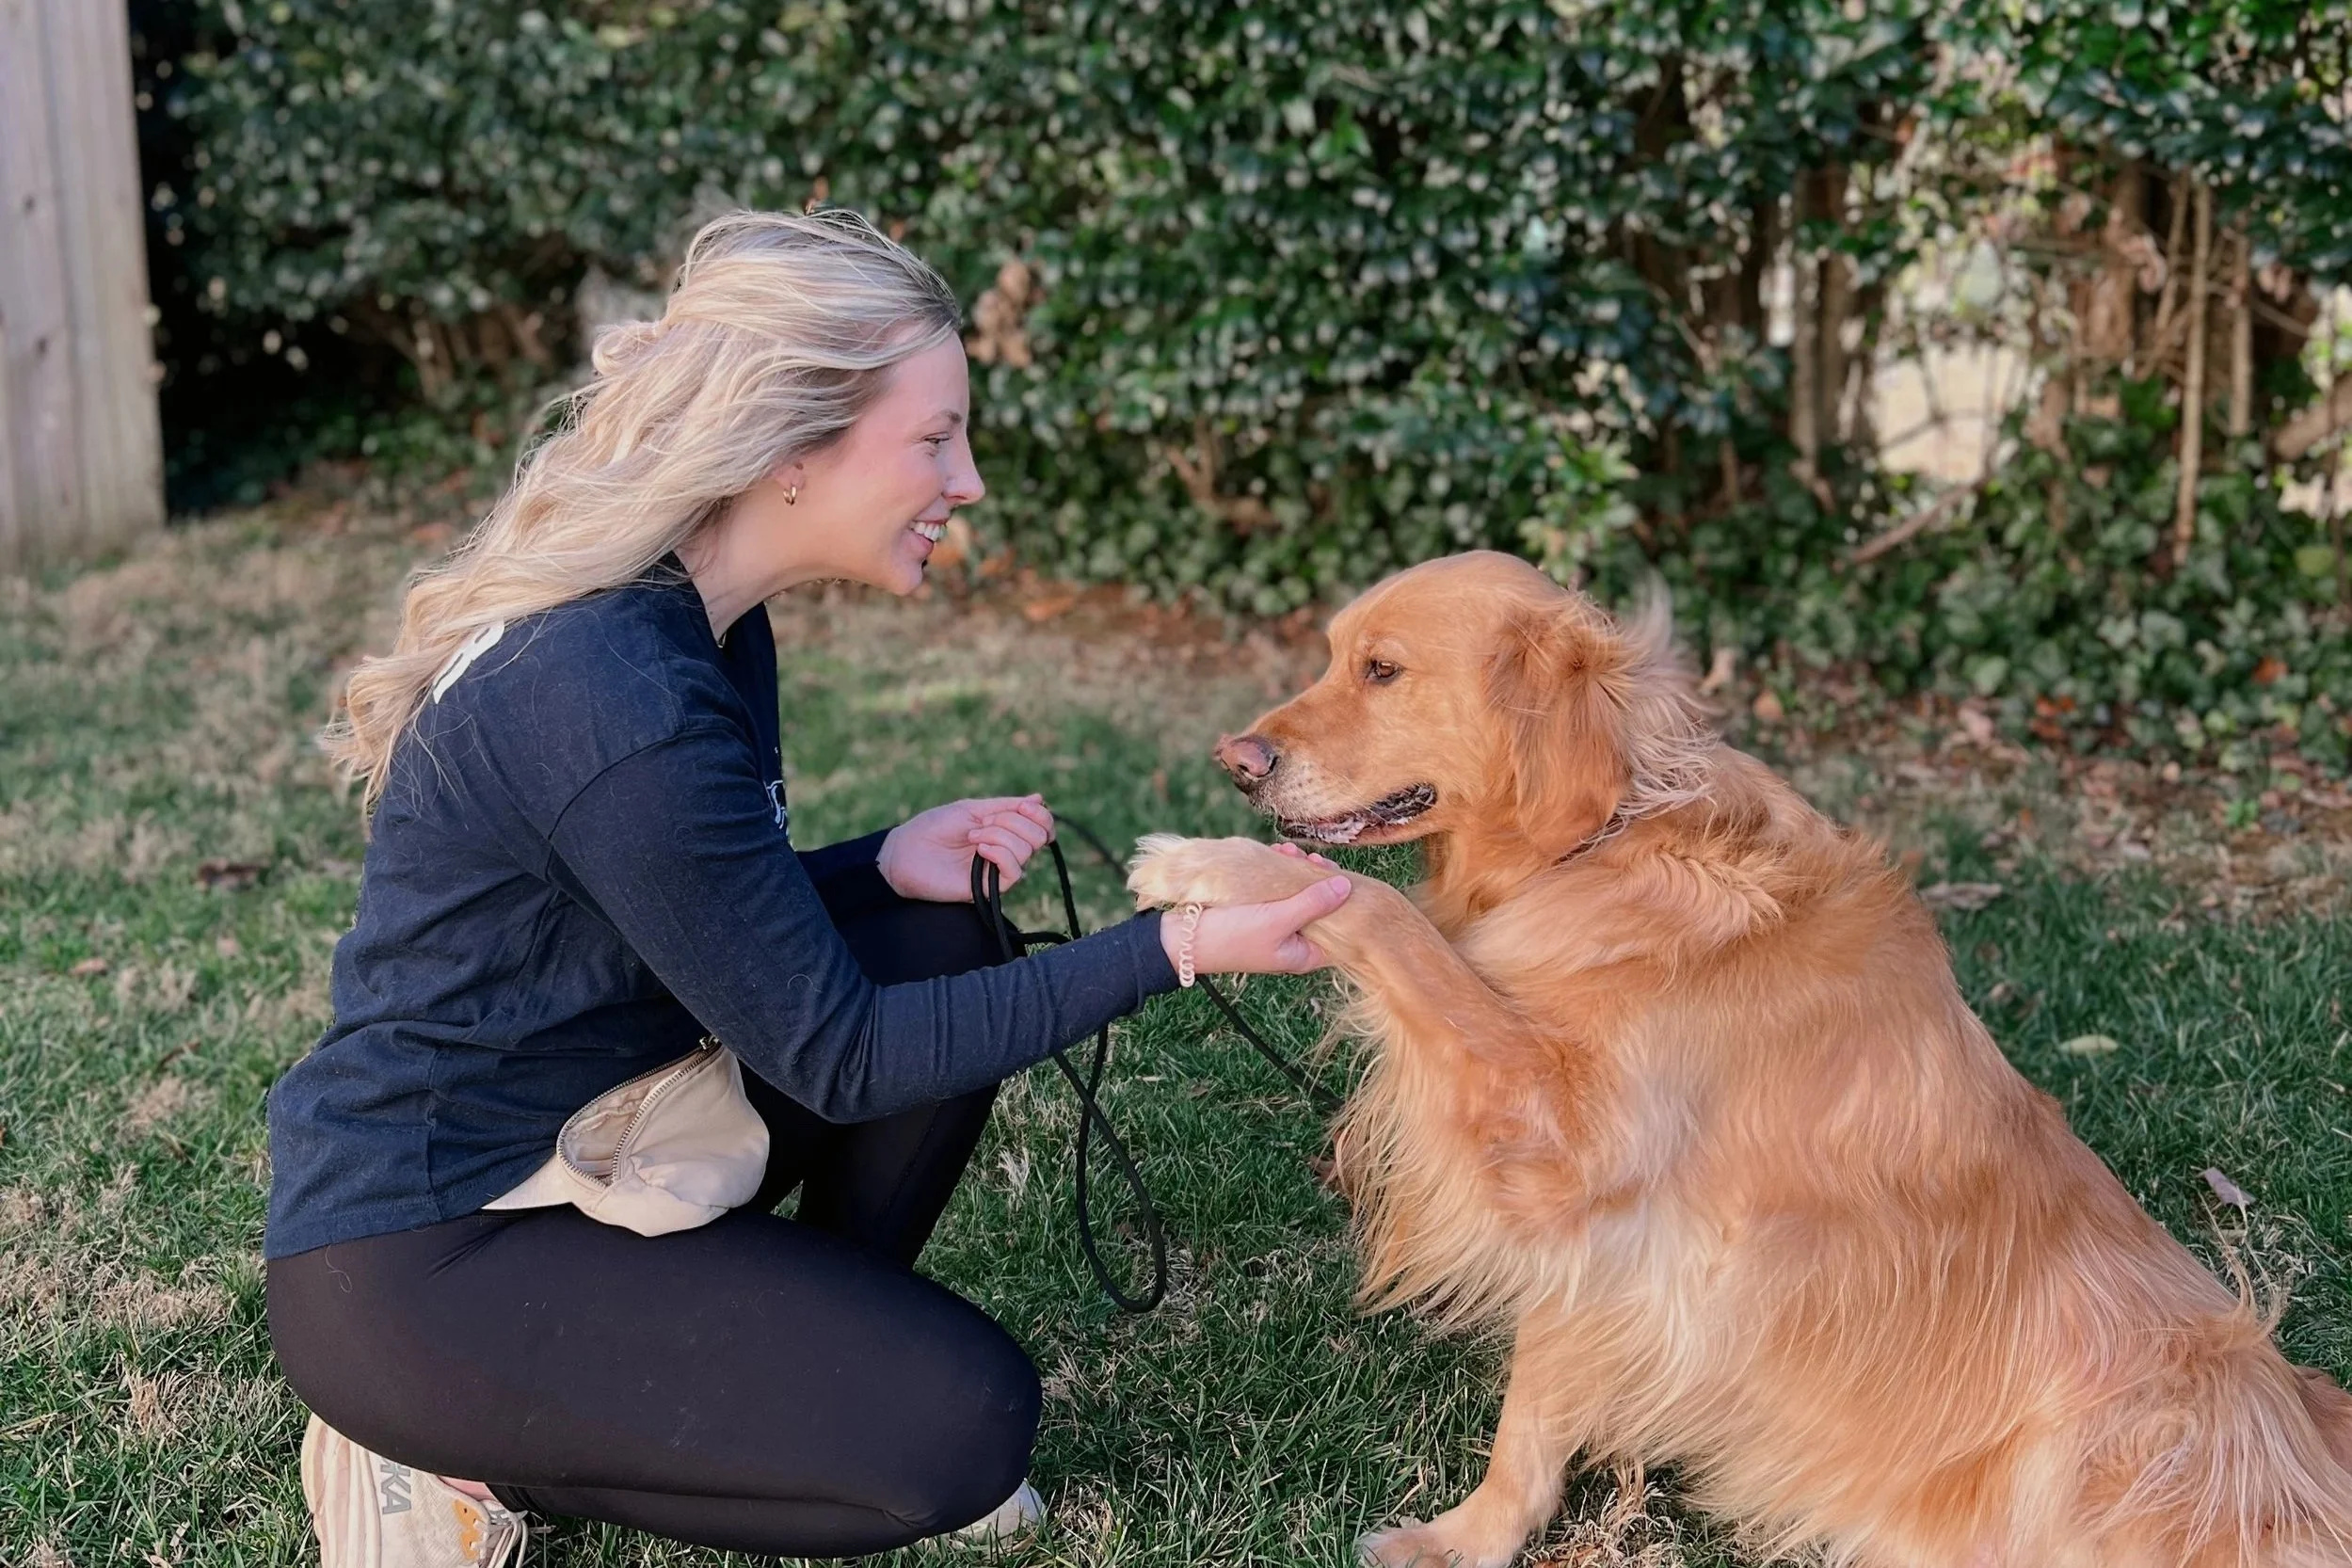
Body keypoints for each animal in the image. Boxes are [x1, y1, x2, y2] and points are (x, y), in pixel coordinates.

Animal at [1127, 551, 2352, 1567]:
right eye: (1335, 654)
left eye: (1384, 670)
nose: (1234, 762)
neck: (1607, 837)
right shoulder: (1609, 1239)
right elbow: (1536, 1411)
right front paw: (1472, 1537)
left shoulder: (1572, 1145)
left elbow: (1374, 910)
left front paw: (1207, 863)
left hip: (2129, 1438)